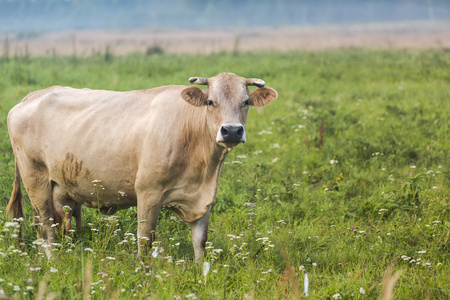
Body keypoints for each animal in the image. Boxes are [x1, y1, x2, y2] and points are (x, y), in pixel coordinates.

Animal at [6, 73, 278, 260]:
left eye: (246, 102)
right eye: (211, 102)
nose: (231, 130)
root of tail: (34, 95)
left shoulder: (203, 198)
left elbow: (200, 242)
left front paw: (203, 275)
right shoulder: (148, 194)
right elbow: (145, 241)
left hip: (58, 188)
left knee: (51, 225)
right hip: (35, 180)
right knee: (45, 226)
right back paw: (54, 263)